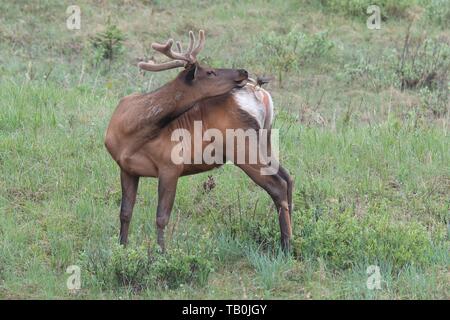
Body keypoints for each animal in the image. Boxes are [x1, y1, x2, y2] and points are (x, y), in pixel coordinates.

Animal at [105, 31, 296, 254]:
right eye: (210, 71)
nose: (243, 71)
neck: (131, 132)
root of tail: (261, 94)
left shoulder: (171, 165)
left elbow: (161, 217)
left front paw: (161, 254)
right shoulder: (127, 168)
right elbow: (125, 212)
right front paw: (122, 248)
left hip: (241, 145)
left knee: (277, 185)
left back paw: (286, 246)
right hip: (264, 141)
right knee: (288, 177)